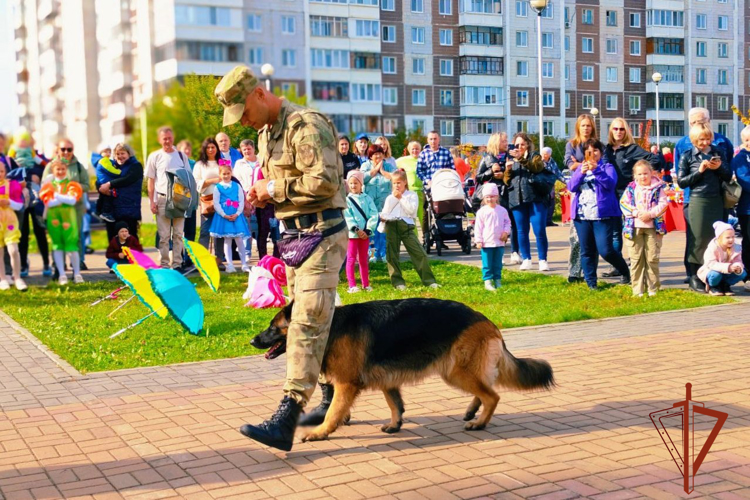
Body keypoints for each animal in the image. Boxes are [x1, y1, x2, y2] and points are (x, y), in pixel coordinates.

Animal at [256, 296, 556, 442]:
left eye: (272, 327)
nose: (252, 341)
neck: (330, 328)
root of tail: (487, 321)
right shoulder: (387, 380)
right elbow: (395, 404)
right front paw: (395, 424)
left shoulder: (346, 385)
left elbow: (333, 413)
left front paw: (320, 433)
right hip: (459, 372)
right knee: (485, 390)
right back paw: (473, 411)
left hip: (456, 373)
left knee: (492, 395)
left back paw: (479, 422)